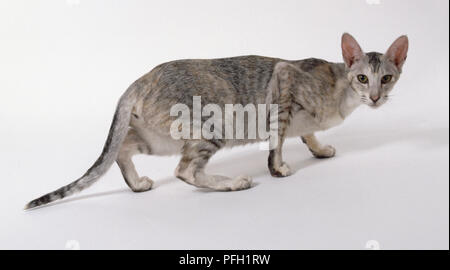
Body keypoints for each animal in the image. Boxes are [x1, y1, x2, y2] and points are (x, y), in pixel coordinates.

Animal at [26, 31, 410, 209]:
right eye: (363, 78)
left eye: (387, 78)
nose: (376, 97)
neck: (341, 92)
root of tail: (140, 80)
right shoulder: (283, 81)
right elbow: (277, 141)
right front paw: (278, 169)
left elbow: (307, 133)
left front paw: (319, 148)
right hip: (213, 126)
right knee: (185, 171)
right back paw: (232, 183)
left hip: (158, 136)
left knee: (123, 150)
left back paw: (136, 184)